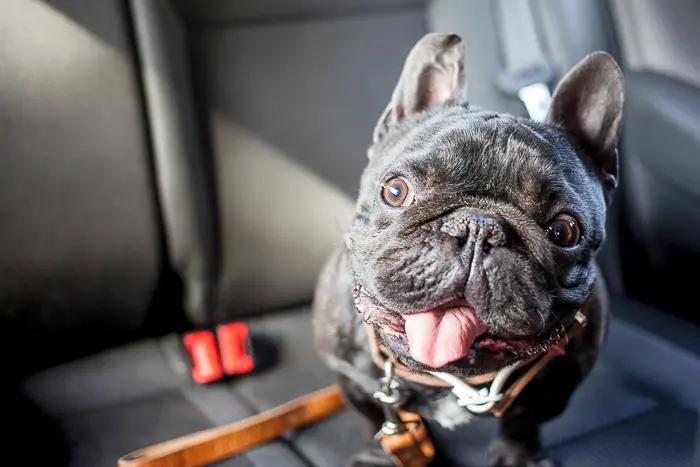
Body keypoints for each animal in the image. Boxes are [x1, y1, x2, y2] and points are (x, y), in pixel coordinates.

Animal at [312, 33, 624, 467]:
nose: (478, 227)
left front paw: (518, 456)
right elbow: (377, 416)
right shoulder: (355, 380)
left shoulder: (556, 385)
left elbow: (523, 422)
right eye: (396, 191)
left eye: (564, 231)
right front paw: (376, 456)